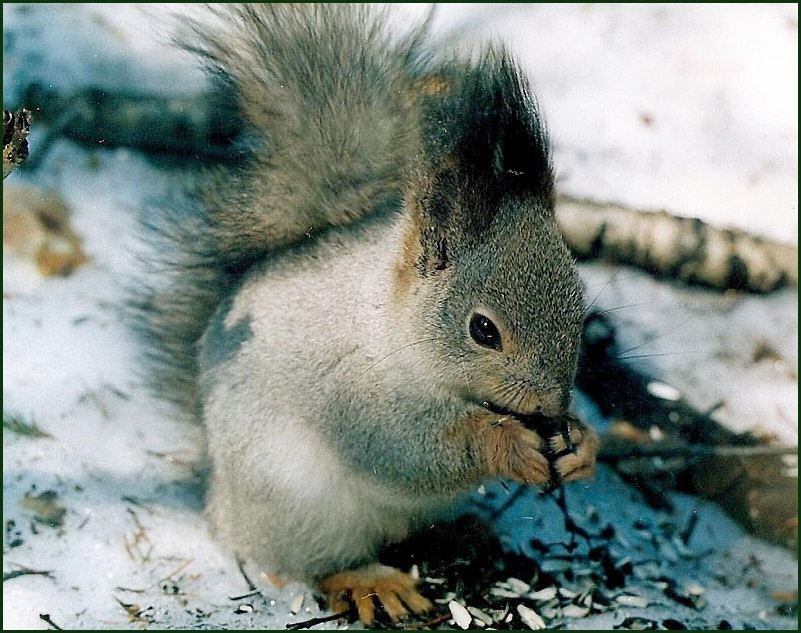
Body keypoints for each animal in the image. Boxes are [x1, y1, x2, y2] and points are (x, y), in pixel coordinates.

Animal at [130, 4, 599, 625]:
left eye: (580, 309)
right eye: (483, 330)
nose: (551, 406)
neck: (392, 325)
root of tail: (220, 499)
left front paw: (582, 444)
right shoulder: (351, 389)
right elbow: (405, 450)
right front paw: (507, 446)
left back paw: (464, 533)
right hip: (298, 504)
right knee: (315, 562)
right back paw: (372, 581)